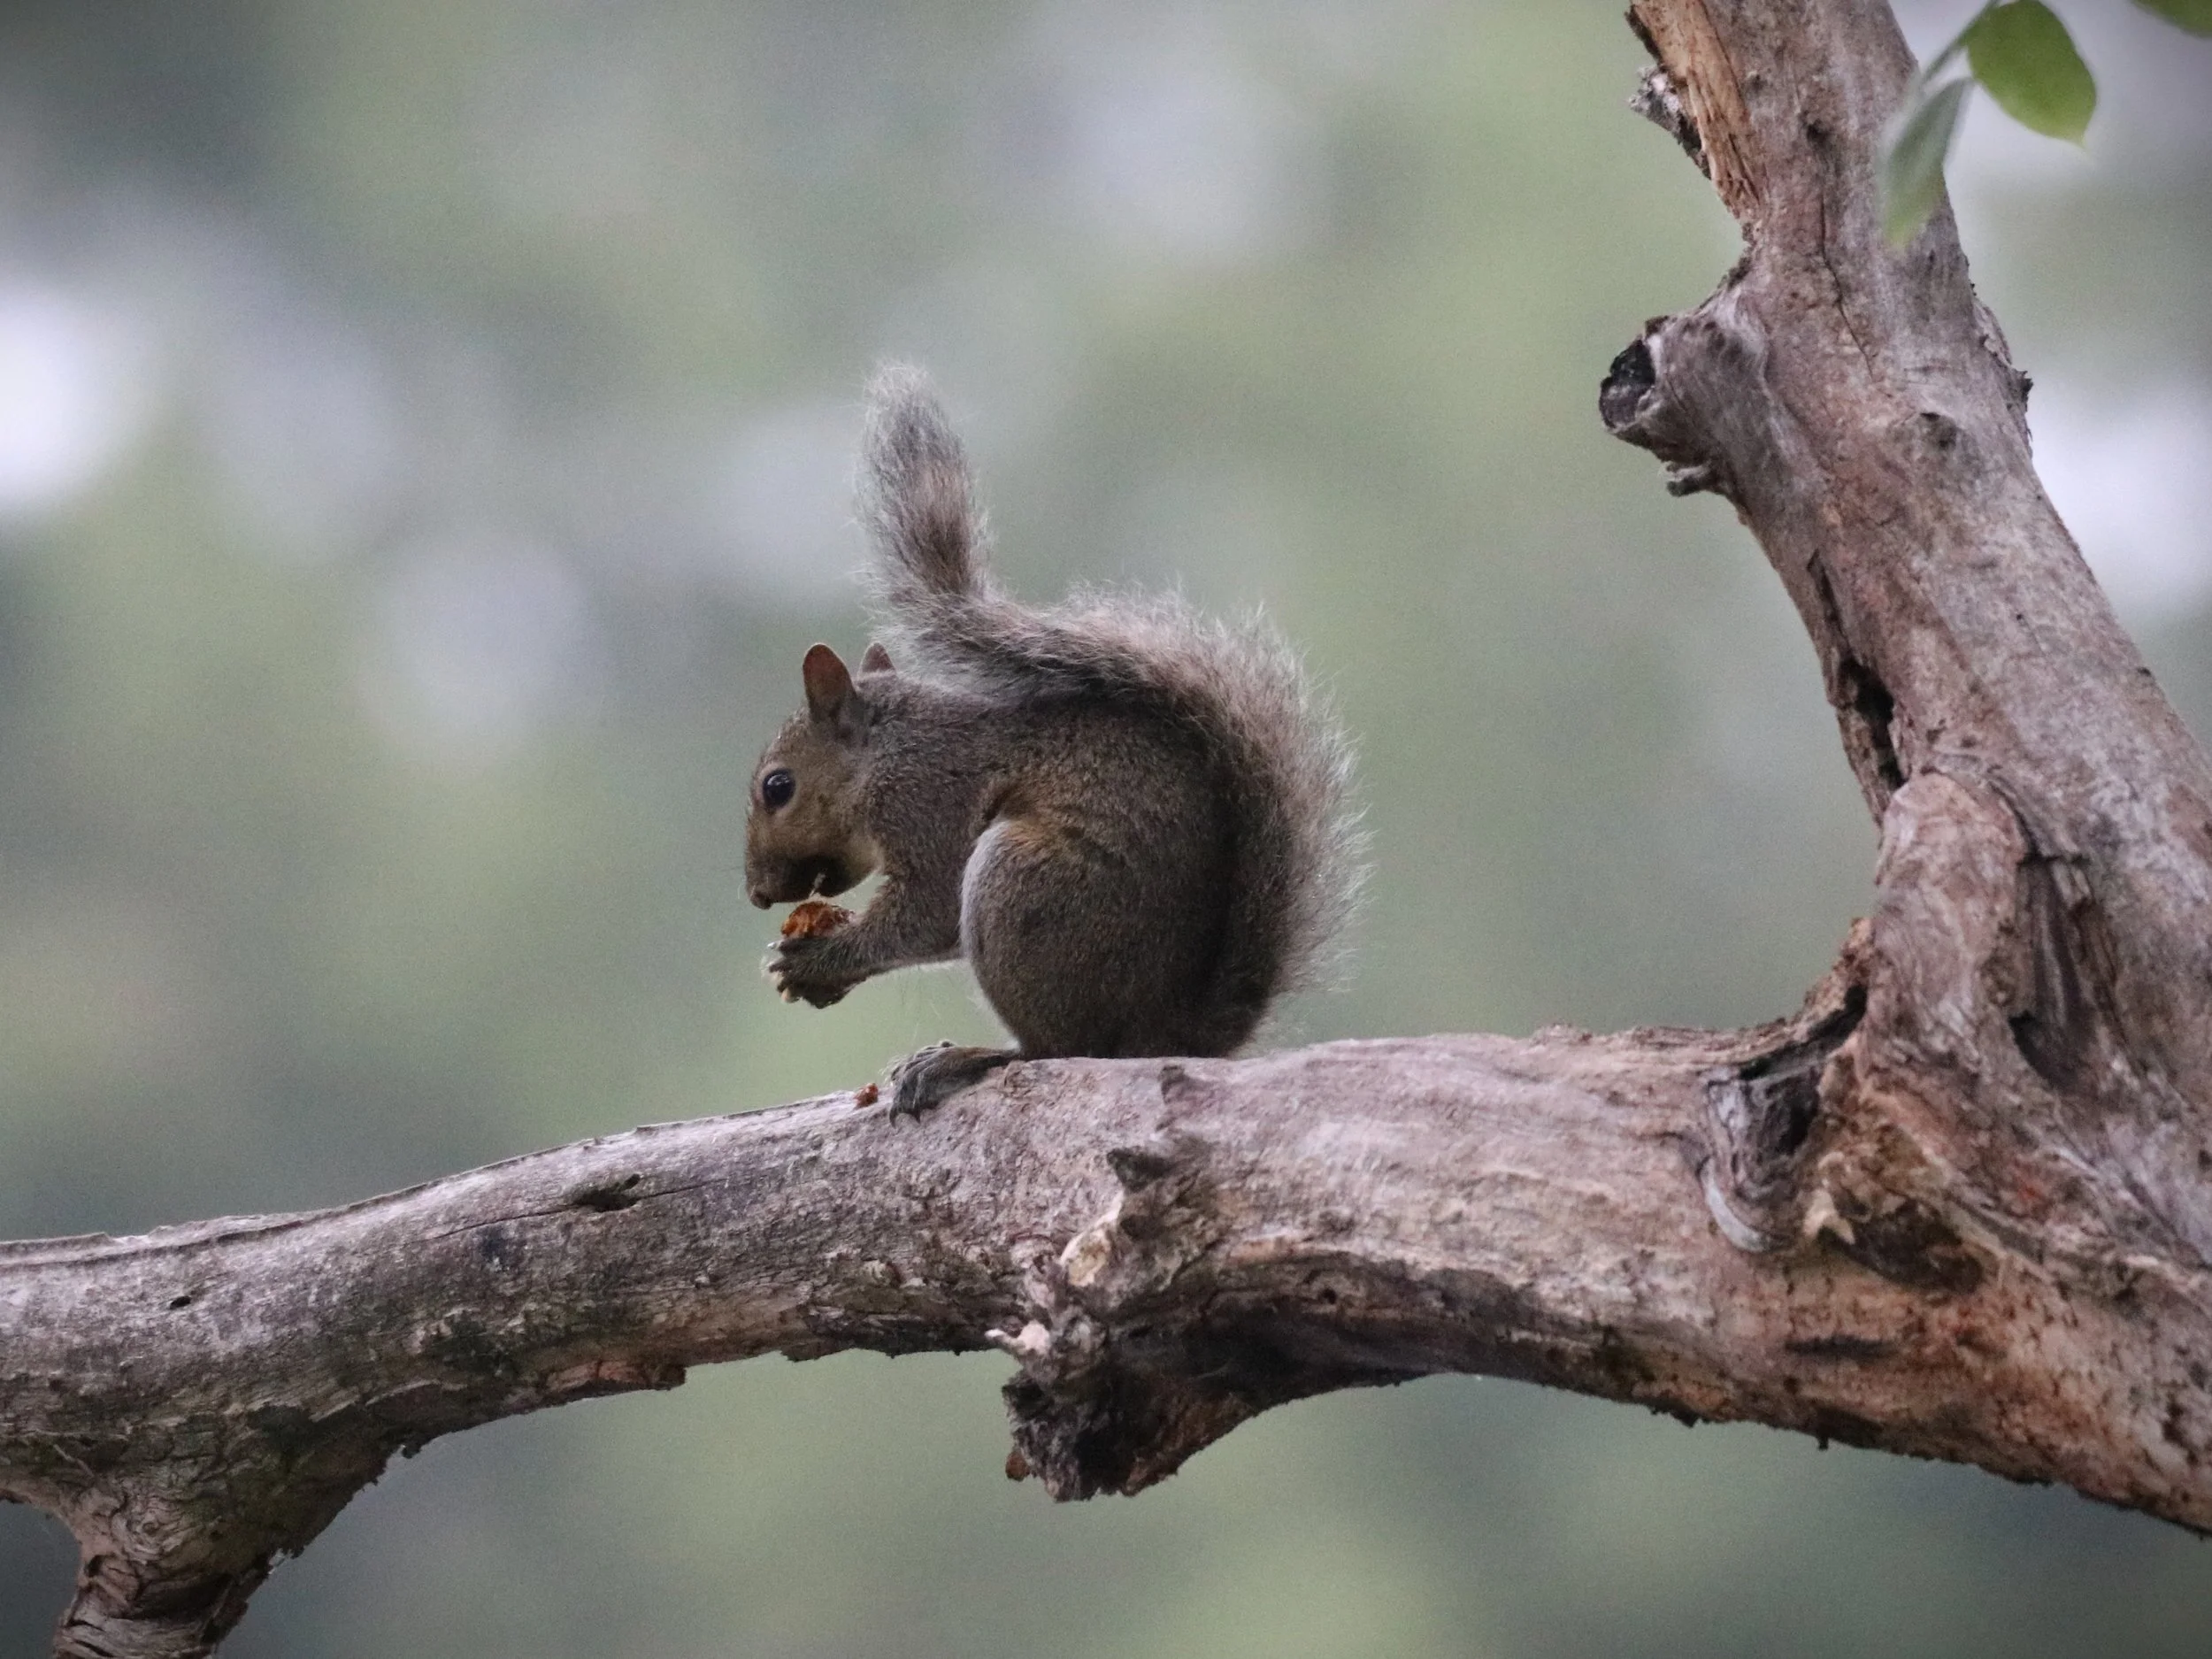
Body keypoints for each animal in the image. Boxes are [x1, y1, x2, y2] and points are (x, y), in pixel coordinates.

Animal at [744, 365, 1361, 1116]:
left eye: (778, 787)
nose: (757, 892)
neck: (890, 752)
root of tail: (1166, 1033)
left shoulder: (927, 803)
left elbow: (928, 911)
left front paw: (819, 963)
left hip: (1023, 886)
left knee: (1055, 1047)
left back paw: (969, 1057)